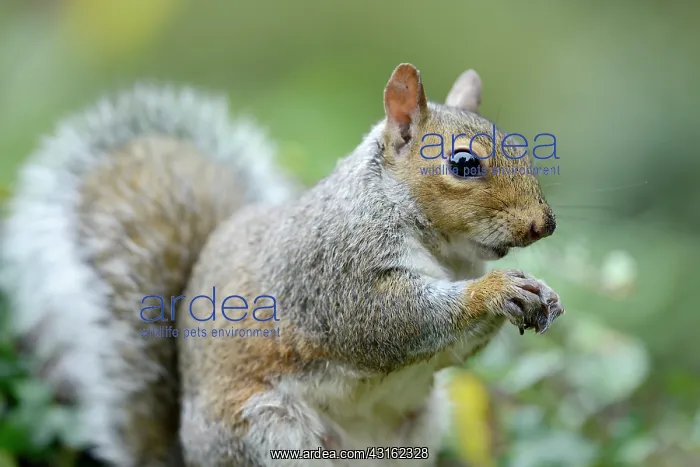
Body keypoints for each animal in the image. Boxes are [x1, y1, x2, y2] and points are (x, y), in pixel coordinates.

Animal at [0, 64, 564, 466]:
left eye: (519, 144)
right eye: (463, 164)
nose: (544, 224)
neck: (445, 249)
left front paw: (540, 291)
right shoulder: (334, 272)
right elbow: (391, 322)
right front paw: (494, 291)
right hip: (271, 435)